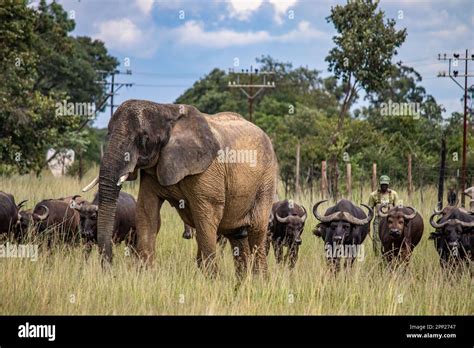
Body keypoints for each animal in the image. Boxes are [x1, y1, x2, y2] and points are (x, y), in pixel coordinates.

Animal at [84, 100, 278, 278]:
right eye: (108, 133)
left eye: (144, 139)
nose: (110, 271)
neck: (166, 110)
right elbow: (146, 212)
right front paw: (146, 276)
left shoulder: (208, 171)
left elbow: (206, 218)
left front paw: (212, 280)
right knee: (238, 236)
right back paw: (243, 283)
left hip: (266, 180)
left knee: (256, 231)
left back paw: (260, 282)